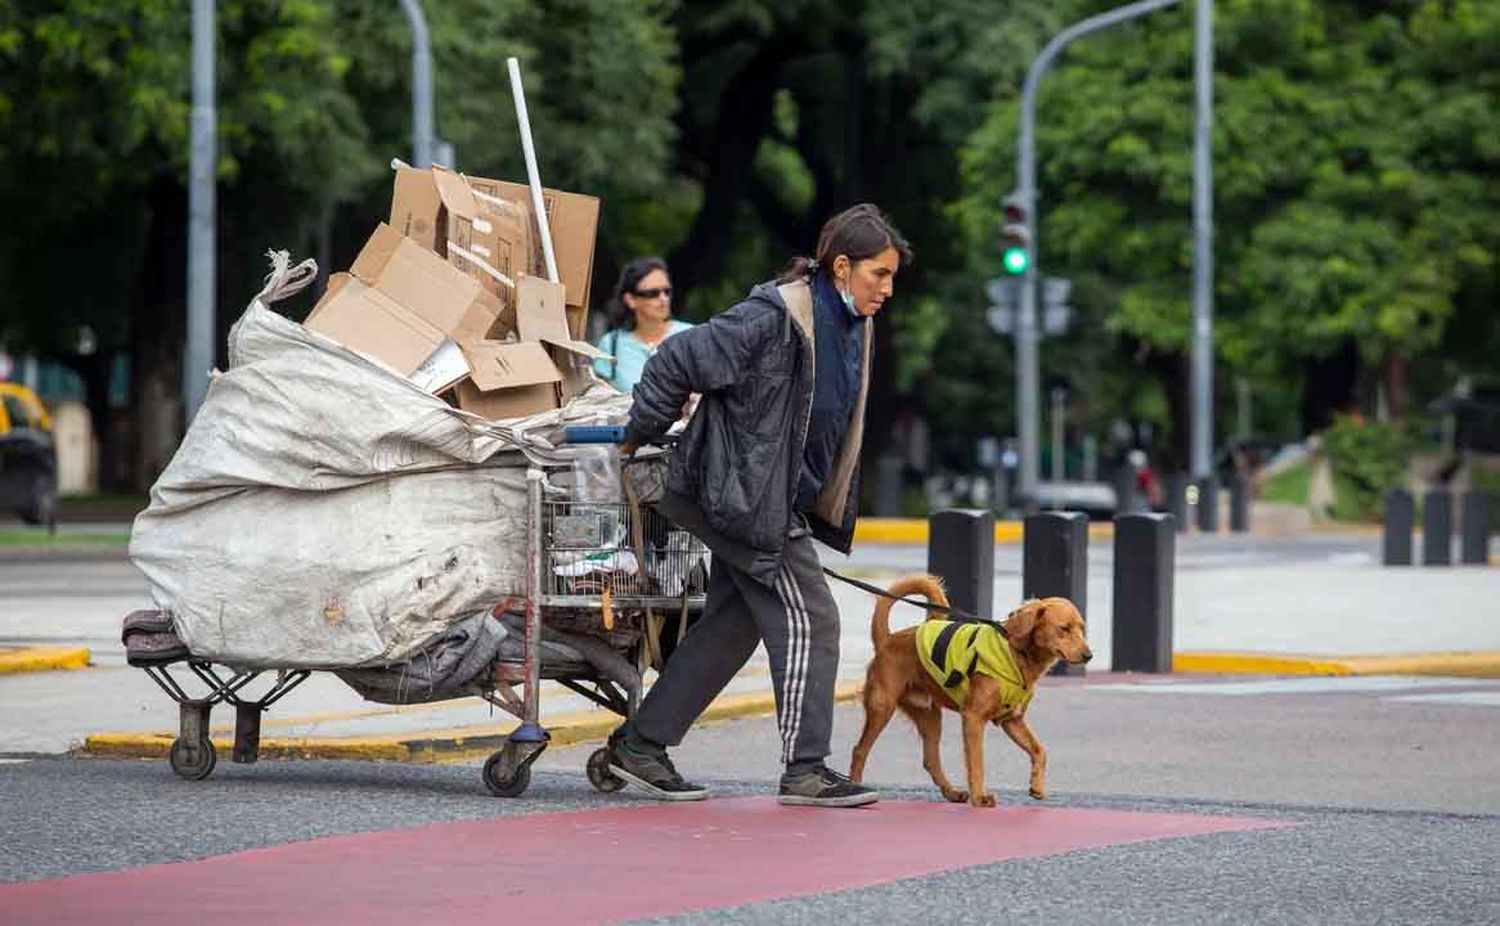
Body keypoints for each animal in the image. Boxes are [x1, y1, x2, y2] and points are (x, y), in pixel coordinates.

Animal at [858, 573, 1092, 804]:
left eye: (1081, 628)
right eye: (1064, 628)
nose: (1089, 655)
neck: (1016, 652)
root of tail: (887, 639)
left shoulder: (1012, 720)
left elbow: (1039, 751)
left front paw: (1037, 785)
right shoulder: (973, 718)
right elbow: (977, 763)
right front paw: (979, 797)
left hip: (930, 717)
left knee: (930, 760)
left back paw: (952, 793)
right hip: (882, 708)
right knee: (859, 750)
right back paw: (856, 785)